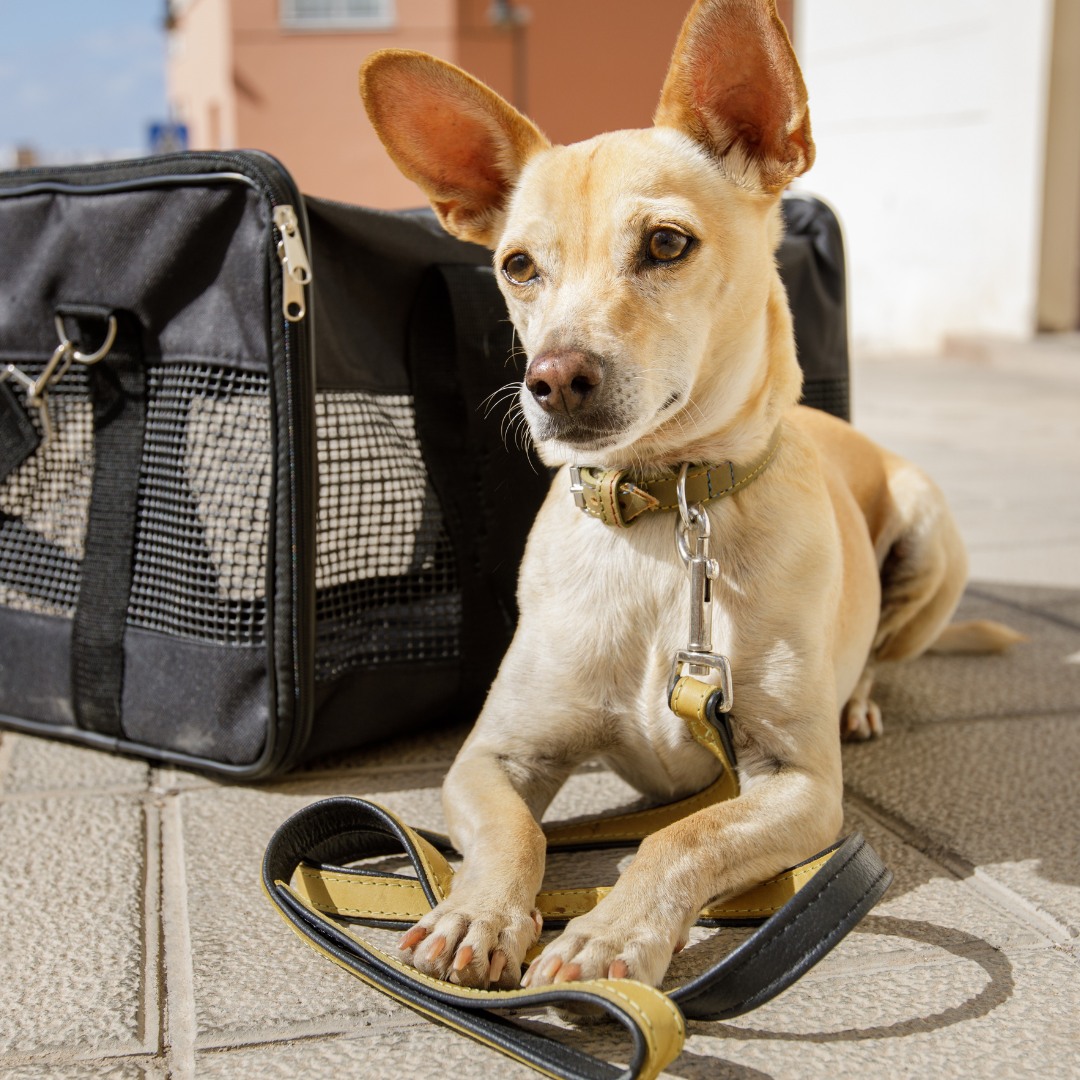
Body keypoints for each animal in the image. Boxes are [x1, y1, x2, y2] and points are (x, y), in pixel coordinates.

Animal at [356, 0, 1019, 989]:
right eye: (517, 266)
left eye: (666, 243)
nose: (554, 381)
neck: (666, 512)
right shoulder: (490, 757)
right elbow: (513, 835)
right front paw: (477, 910)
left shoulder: (799, 783)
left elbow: (682, 840)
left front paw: (609, 935)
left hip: (930, 535)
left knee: (884, 653)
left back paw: (861, 697)